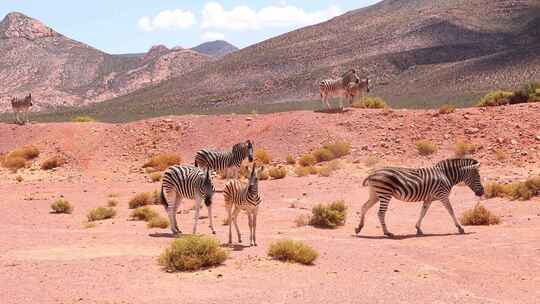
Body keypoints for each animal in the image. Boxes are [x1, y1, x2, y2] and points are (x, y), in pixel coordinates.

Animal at [354, 159, 486, 238]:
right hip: (385, 193)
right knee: (380, 213)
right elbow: (451, 211)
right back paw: (387, 232)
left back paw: (358, 228)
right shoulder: (442, 195)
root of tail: (372, 173)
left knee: (364, 206)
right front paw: (460, 228)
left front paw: (418, 229)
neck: (446, 175)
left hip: (375, 194)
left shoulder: (429, 198)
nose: (482, 192)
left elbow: (423, 212)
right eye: (478, 176)